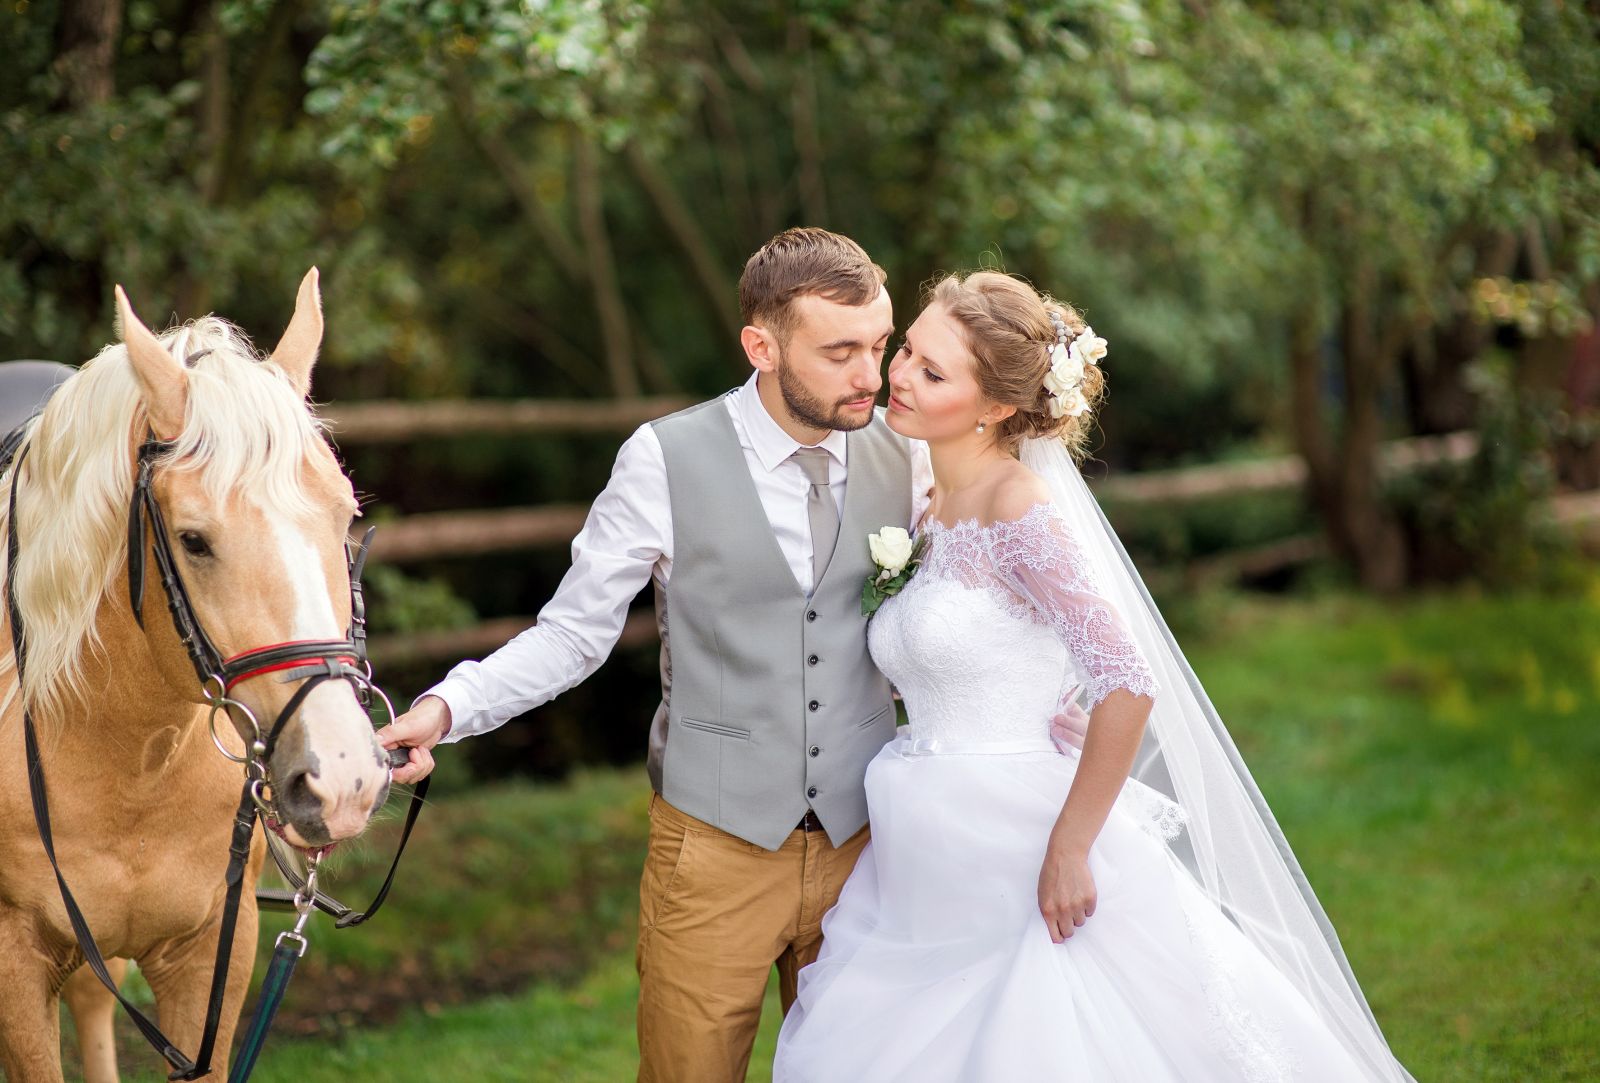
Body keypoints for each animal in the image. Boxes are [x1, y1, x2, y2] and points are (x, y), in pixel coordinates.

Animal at [0, 271, 393, 1082]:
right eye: (193, 540)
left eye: (345, 516)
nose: (341, 776)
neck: (129, 757)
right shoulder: (13, 962)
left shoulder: (214, 950)